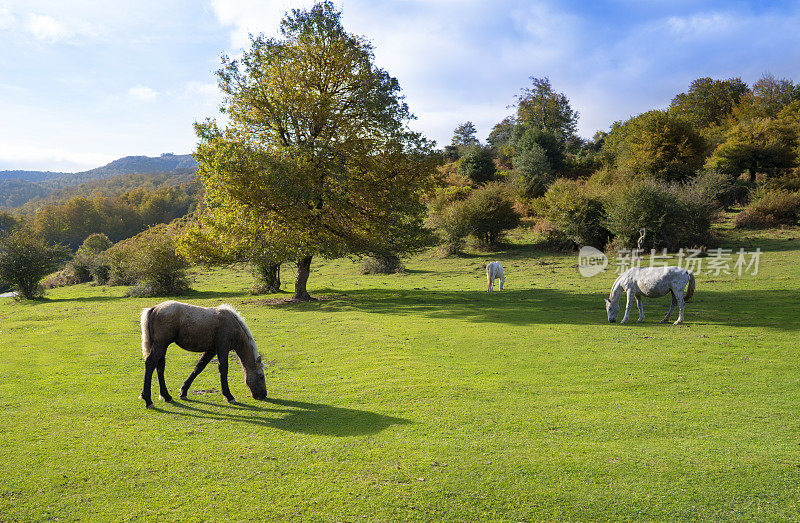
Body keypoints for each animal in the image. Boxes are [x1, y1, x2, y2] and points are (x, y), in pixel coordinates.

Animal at [139, 302, 268, 410]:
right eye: (261, 376)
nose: (263, 395)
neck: (232, 323)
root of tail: (154, 308)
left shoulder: (211, 350)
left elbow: (199, 367)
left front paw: (183, 392)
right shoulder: (222, 348)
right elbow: (224, 369)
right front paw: (229, 396)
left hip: (162, 346)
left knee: (160, 367)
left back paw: (167, 396)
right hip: (161, 345)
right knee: (150, 363)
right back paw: (148, 400)